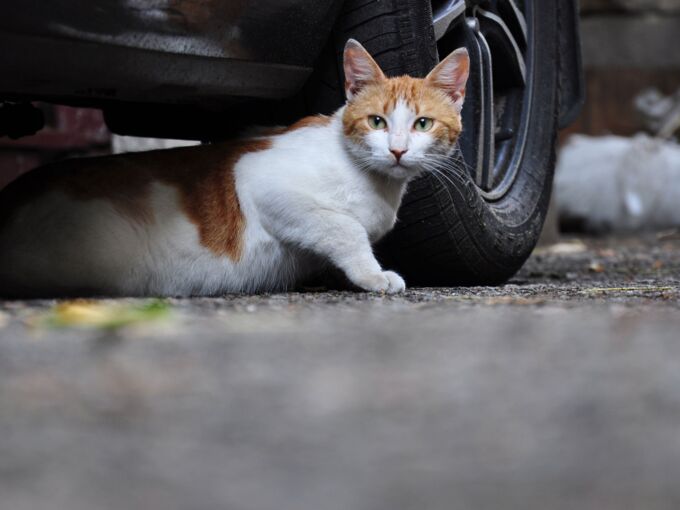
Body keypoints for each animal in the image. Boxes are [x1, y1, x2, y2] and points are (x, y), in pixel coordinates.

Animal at [0, 40, 468, 298]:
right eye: (377, 121)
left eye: (422, 124)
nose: (397, 150)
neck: (373, 181)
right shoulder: (260, 178)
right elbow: (344, 227)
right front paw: (373, 275)